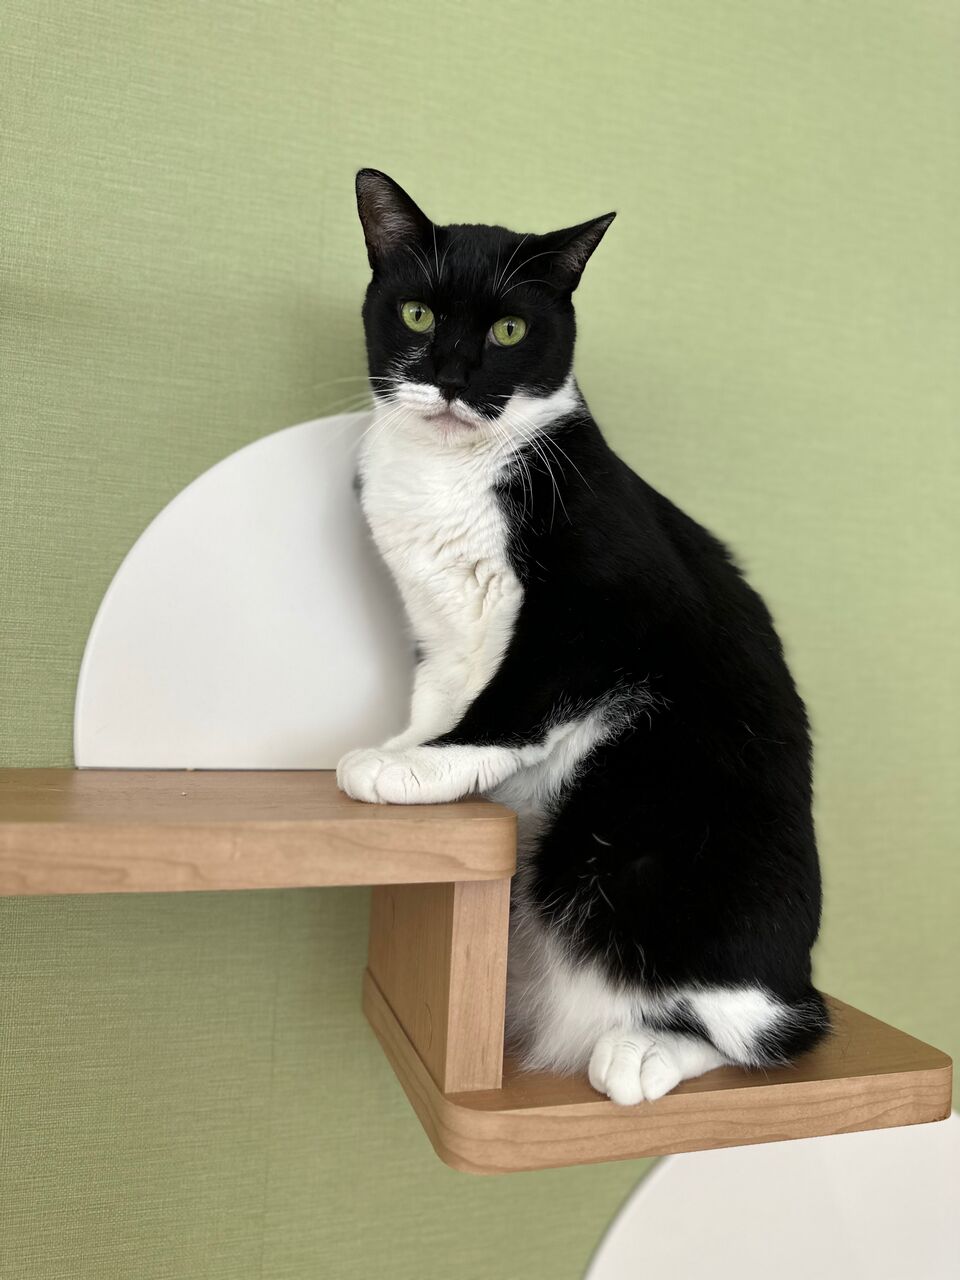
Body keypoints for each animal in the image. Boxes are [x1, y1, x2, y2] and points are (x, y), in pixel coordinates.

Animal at [337, 168, 829, 1104]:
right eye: (417, 314)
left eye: (509, 329)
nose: (451, 378)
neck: (450, 476)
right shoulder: (437, 630)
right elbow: (438, 694)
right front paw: (410, 747)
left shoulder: (613, 607)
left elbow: (522, 693)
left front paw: (417, 766)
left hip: (640, 844)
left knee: (769, 1028)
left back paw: (642, 1052)